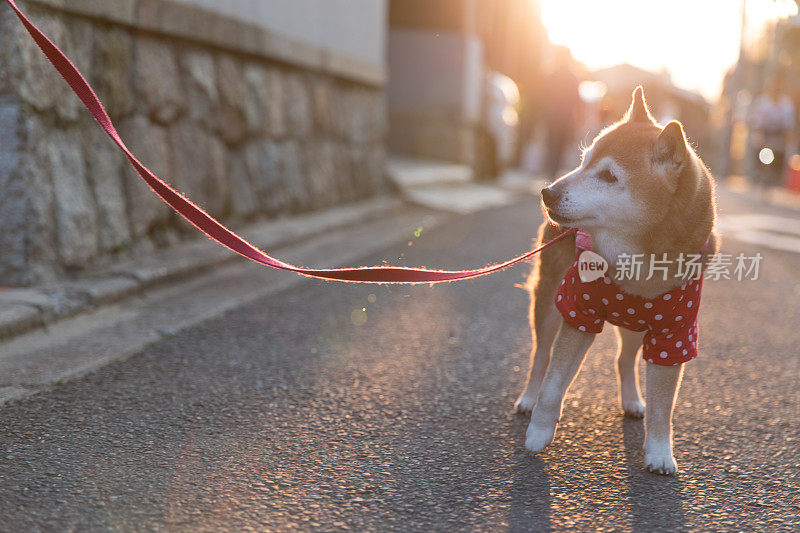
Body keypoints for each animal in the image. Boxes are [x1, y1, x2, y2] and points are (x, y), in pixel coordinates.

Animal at [516, 86, 720, 474]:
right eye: (583, 162)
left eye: (609, 176)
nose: (548, 192)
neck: (638, 265)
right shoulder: (579, 313)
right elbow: (553, 384)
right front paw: (538, 433)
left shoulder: (674, 334)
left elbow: (663, 405)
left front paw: (659, 452)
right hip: (549, 302)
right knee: (541, 355)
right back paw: (528, 399)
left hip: (637, 326)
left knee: (623, 360)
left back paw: (632, 400)